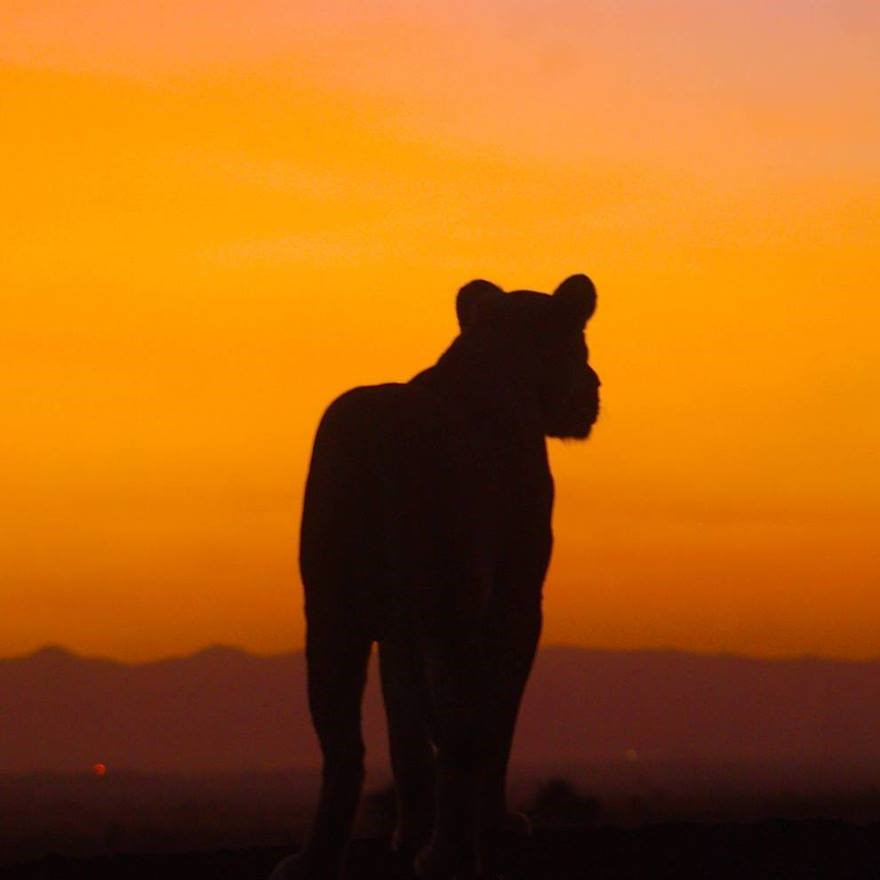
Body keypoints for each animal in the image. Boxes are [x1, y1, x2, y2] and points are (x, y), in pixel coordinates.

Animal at [270, 274, 600, 880]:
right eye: (581, 345)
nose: (595, 386)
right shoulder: (514, 601)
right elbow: (494, 718)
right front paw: (495, 825)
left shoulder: (400, 626)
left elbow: (405, 728)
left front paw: (407, 833)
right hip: (450, 607)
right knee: (461, 725)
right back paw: (449, 852)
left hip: (330, 613)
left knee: (342, 744)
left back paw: (316, 859)